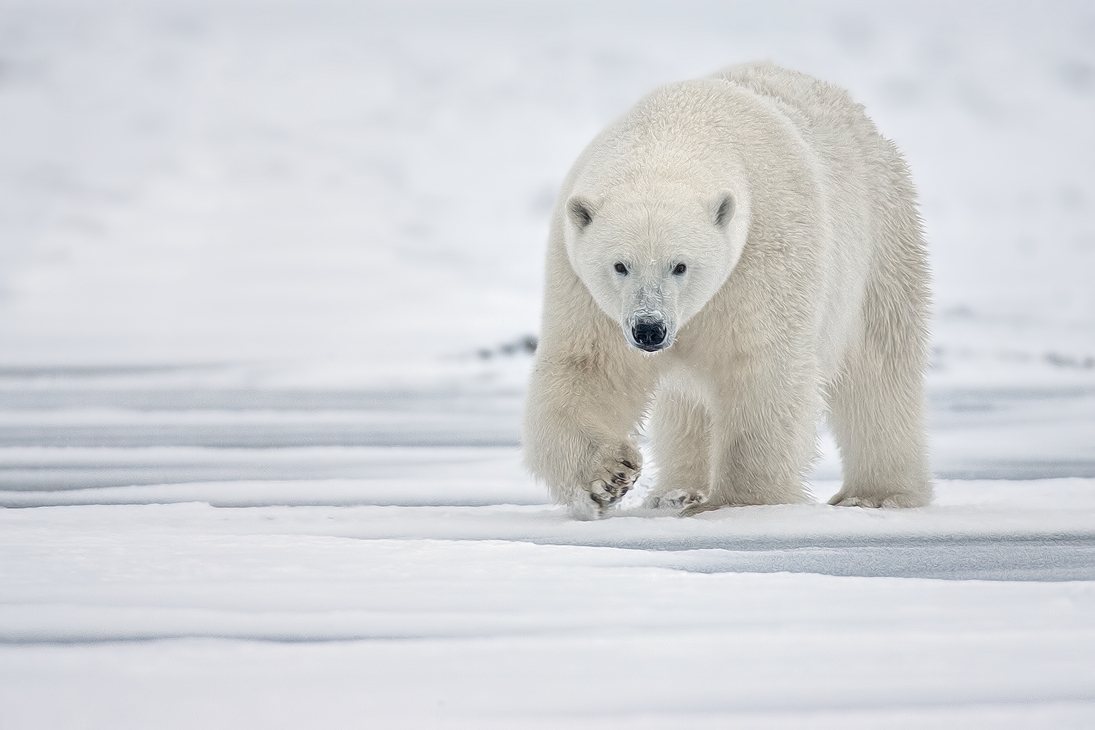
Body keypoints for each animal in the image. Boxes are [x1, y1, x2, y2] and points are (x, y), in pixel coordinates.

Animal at [523, 62, 932, 518]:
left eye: (680, 265)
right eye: (620, 265)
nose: (649, 330)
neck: (673, 134)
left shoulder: (767, 249)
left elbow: (761, 367)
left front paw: (739, 502)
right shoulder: (582, 283)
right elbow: (589, 365)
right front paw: (608, 476)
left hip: (880, 239)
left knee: (878, 369)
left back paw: (877, 494)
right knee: (685, 404)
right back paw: (675, 491)